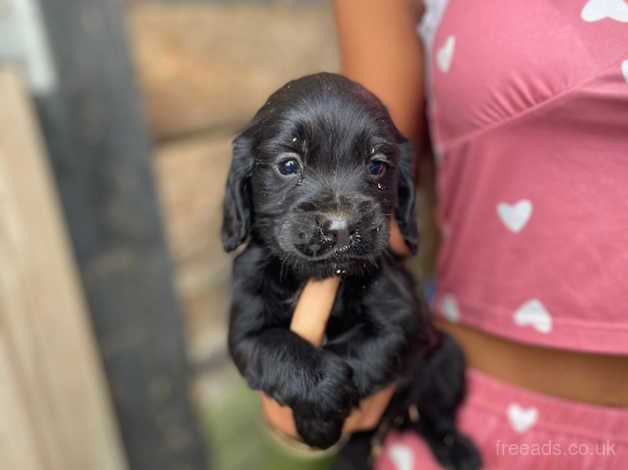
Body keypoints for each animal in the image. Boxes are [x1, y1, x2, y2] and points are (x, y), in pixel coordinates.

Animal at [221, 73, 480, 470]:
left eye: (376, 166)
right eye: (288, 165)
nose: (341, 228)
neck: (320, 278)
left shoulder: (401, 319)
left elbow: (362, 352)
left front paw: (321, 419)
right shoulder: (247, 331)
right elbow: (282, 351)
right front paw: (320, 407)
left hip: (447, 358)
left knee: (434, 417)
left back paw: (458, 450)